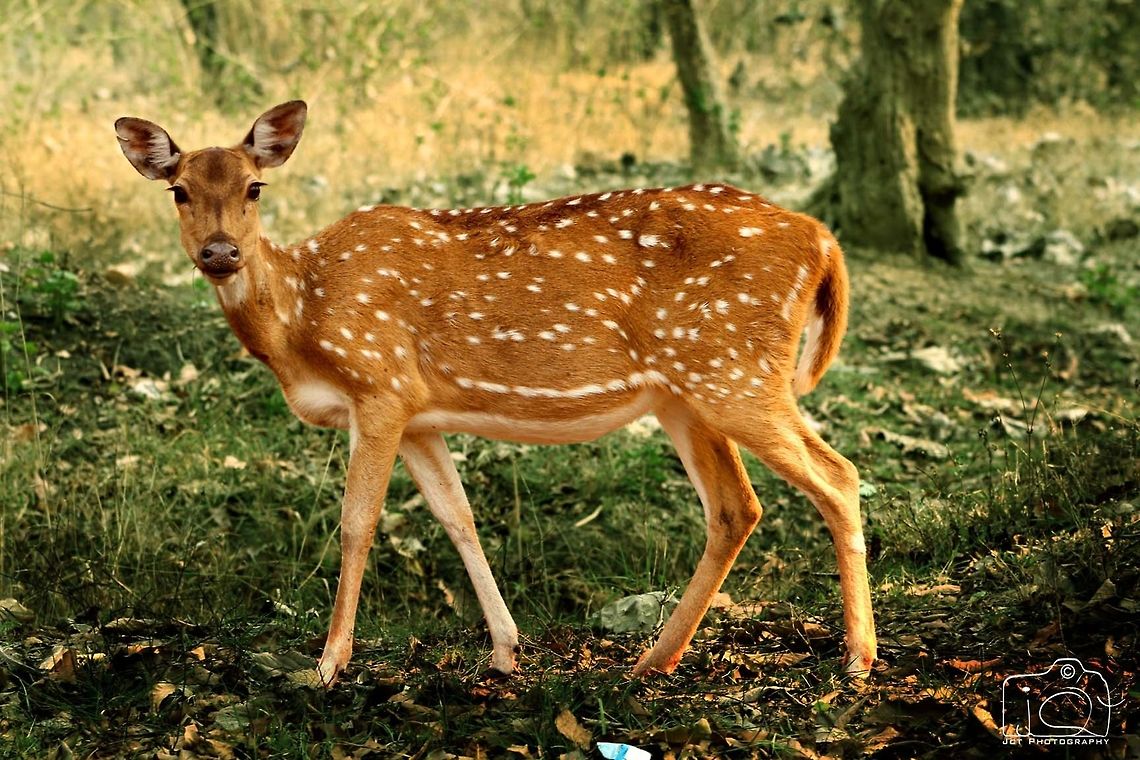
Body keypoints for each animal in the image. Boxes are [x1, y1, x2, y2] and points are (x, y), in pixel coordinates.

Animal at [114, 100, 877, 685]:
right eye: (178, 189)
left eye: (254, 188)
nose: (220, 253)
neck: (303, 320)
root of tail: (825, 241)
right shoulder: (419, 414)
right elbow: (459, 517)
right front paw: (506, 651)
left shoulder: (379, 384)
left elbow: (358, 524)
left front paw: (327, 665)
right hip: (688, 393)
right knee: (735, 507)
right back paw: (651, 661)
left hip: (736, 371)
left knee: (837, 475)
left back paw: (857, 660)